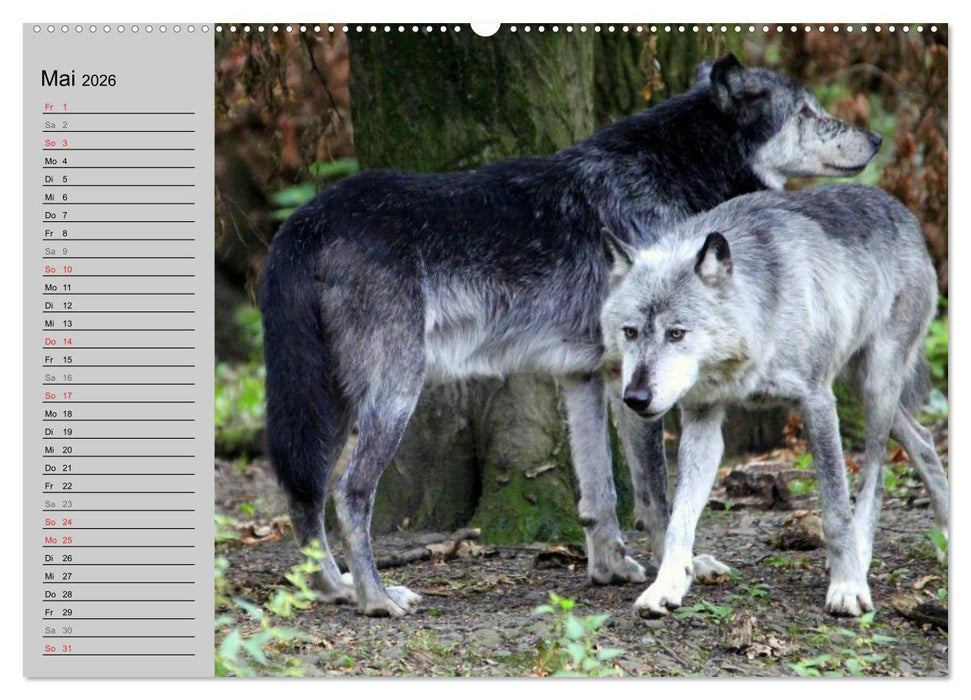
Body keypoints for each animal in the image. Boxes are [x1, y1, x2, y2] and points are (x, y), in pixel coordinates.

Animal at [260, 53, 883, 617]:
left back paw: (333, 588)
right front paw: (671, 574)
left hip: (329, 402)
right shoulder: (637, 388)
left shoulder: (587, 375)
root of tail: (305, 221)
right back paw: (376, 599)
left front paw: (609, 568)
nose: (876, 137)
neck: (669, 171)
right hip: (392, 397)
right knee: (349, 495)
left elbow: (598, 494)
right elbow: (656, 496)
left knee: (304, 492)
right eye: (807, 112)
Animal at [600, 184, 948, 617]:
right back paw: (947, 532)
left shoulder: (816, 401)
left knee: (875, 478)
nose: (635, 397)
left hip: (876, 386)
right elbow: (680, 516)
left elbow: (836, 511)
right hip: (857, 385)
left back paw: (863, 559)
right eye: (630, 332)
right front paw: (666, 586)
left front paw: (848, 587)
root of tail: (895, 205)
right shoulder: (702, 419)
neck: (761, 320)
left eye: (676, 333)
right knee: (923, 439)